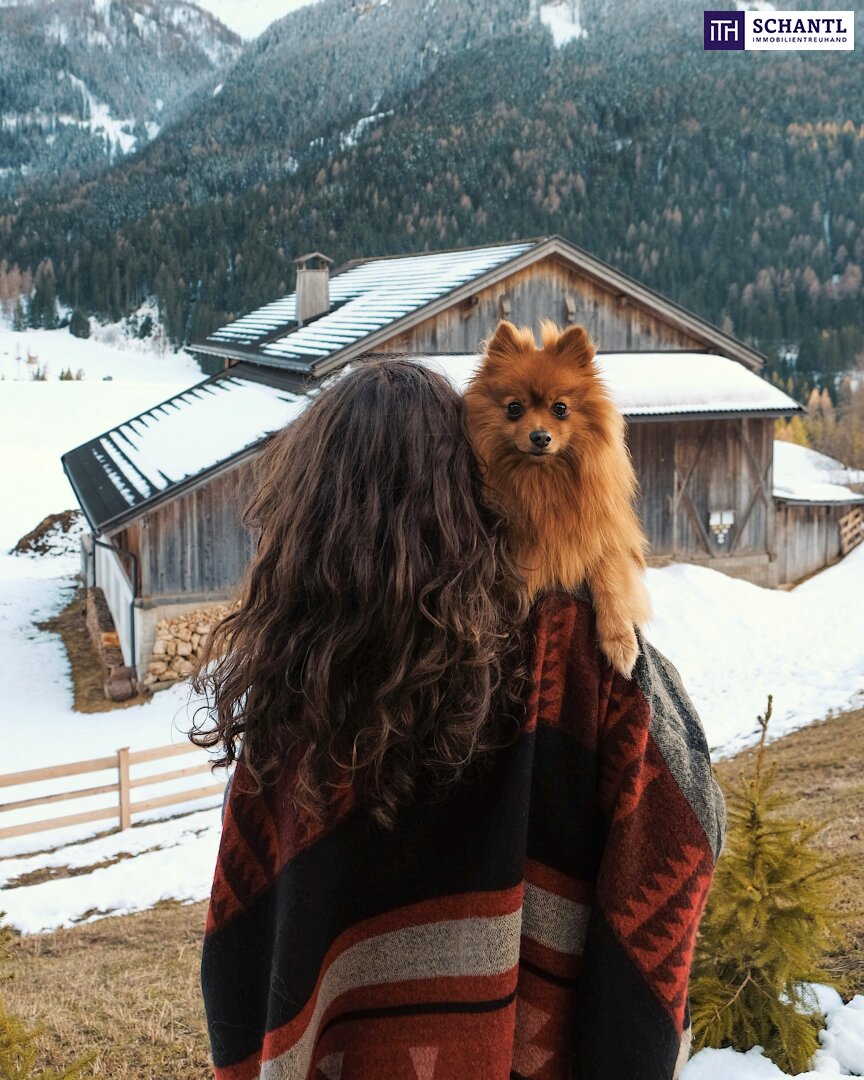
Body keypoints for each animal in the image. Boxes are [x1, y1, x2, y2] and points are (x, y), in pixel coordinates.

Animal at [462, 315, 652, 678]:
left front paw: (620, 641)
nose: (540, 436)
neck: (543, 481)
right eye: (514, 408)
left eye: (560, 408)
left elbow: (610, 577)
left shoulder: (605, 535)